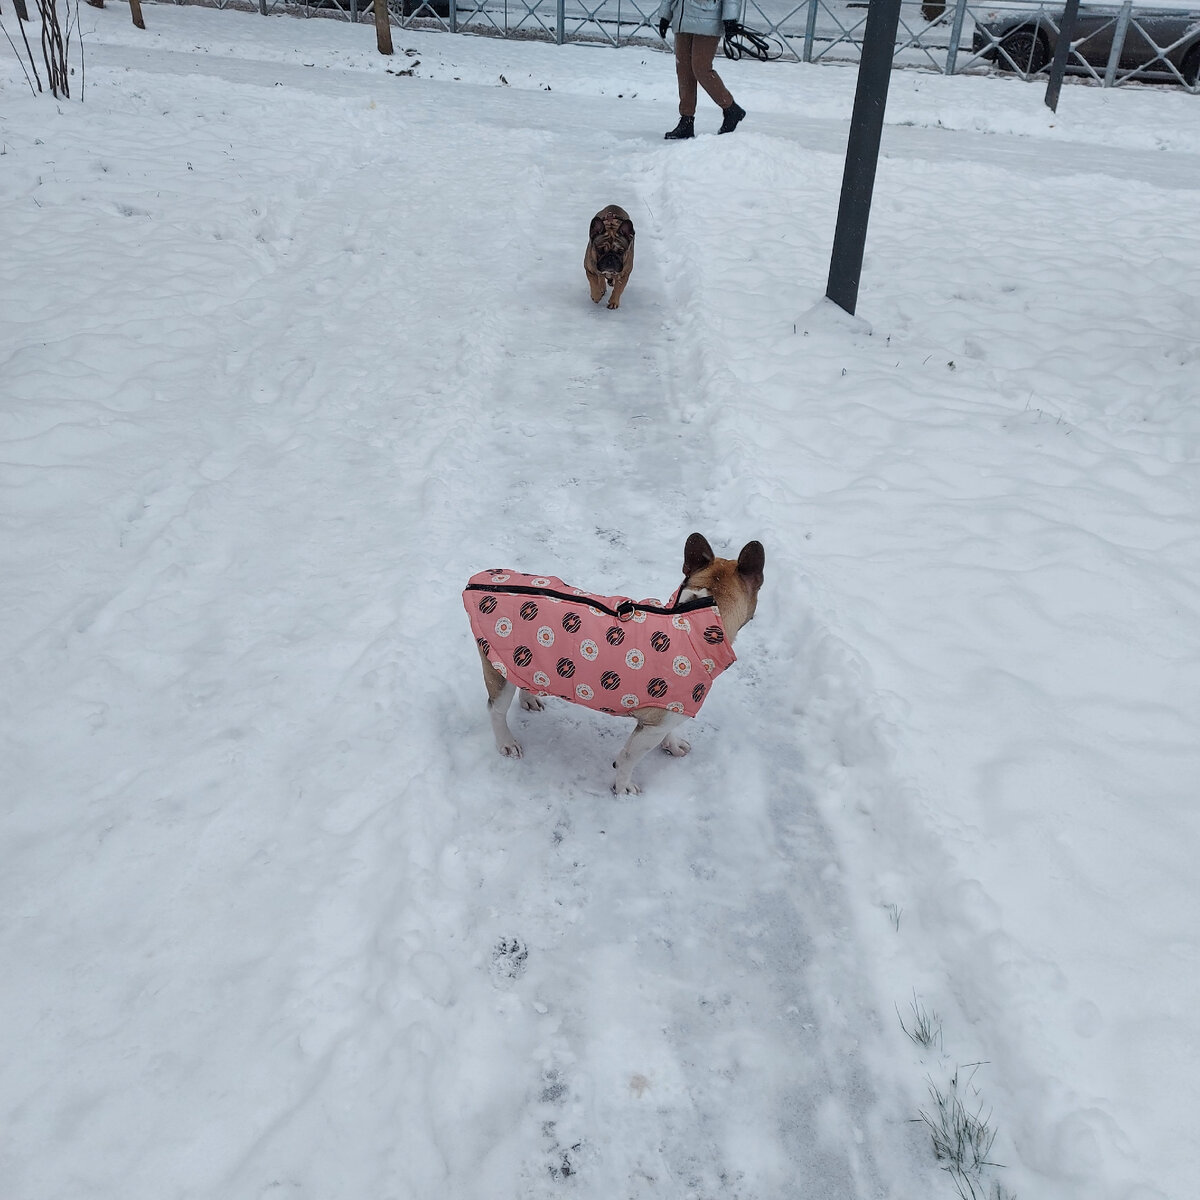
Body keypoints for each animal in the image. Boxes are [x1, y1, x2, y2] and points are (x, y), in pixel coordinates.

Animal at [463, 535, 763, 796]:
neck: (695, 615)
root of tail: (476, 583)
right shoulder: (651, 728)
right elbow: (628, 757)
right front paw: (623, 787)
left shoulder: (670, 709)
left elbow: (669, 730)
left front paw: (673, 744)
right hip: (496, 668)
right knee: (496, 710)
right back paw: (506, 742)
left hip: (525, 658)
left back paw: (530, 698)